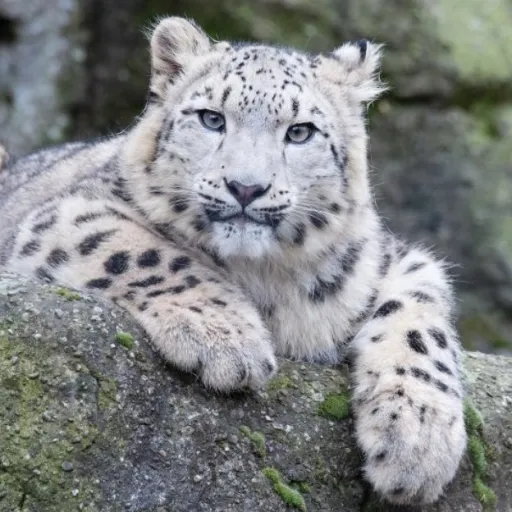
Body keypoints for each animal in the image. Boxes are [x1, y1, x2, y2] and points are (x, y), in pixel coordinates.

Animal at [0, 17, 466, 505]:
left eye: (300, 131)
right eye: (211, 118)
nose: (246, 187)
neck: (264, 276)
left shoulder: (396, 259)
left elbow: (419, 323)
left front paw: (419, 440)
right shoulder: (68, 214)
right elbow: (148, 251)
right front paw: (226, 340)